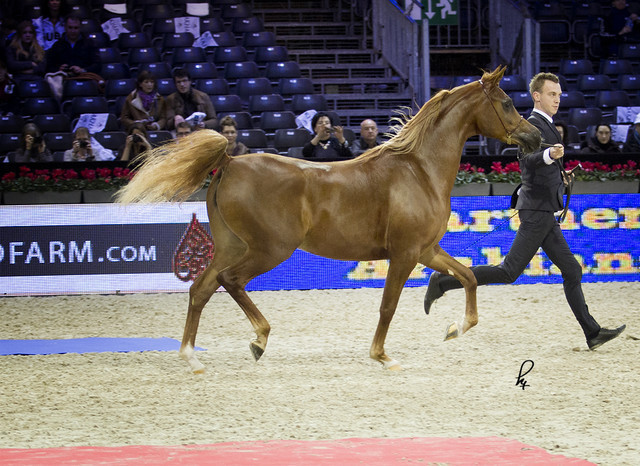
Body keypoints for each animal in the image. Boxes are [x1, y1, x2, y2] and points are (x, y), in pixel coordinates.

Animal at [117, 66, 541, 373]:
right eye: (506, 103)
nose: (536, 138)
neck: (419, 170)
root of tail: (230, 162)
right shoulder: (404, 254)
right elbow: (388, 306)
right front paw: (383, 356)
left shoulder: (427, 250)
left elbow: (468, 276)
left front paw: (455, 328)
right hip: (270, 249)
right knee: (229, 281)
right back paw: (258, 340)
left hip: (231, 245)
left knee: (201, 289)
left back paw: (192, 357)